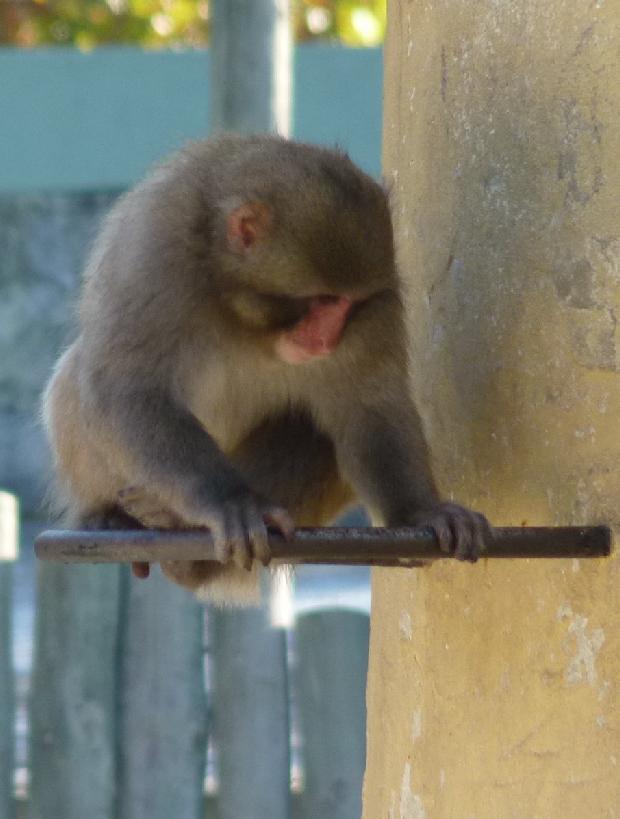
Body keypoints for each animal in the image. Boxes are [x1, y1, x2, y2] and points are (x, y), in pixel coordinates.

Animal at [42, 134, 492, 605]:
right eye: (321, 299)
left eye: (348, 304)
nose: (326, 340)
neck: (237, 308)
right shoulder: (153, 256)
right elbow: (128, 389)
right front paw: (232, 502)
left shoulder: (379, 300)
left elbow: (370, 407)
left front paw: (421, 510)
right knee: (76, 380)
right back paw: (112, 515)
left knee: (312, 429)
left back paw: (183, 550)